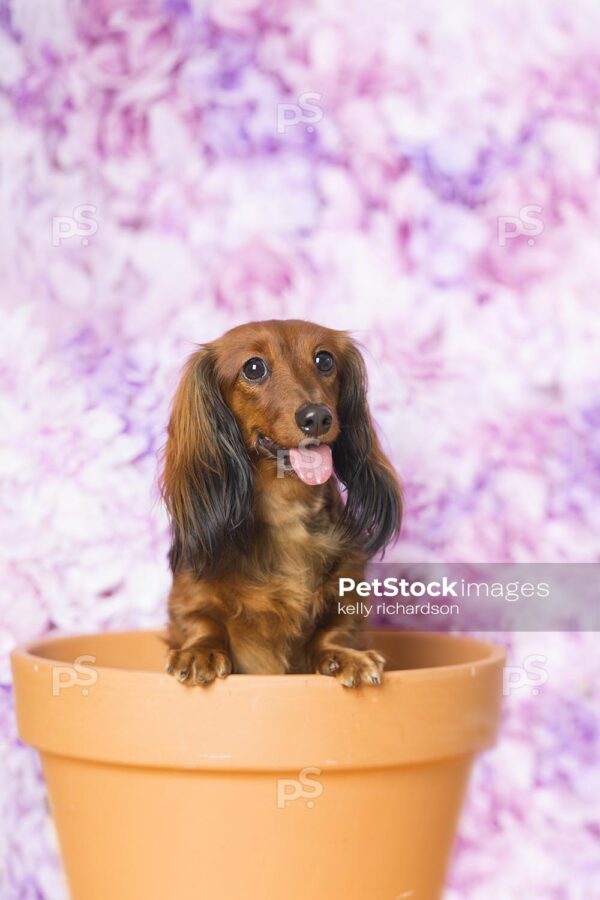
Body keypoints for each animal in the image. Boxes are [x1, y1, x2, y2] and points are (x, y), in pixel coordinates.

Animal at [162, 320, 400, 684]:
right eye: (254, 368)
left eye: (324, 360)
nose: (317, 417)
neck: (285, 510)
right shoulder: (189, 593)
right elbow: (200, 621)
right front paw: (200, 652)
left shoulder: (348, 592)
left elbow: (336, 629)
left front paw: (345, 656)